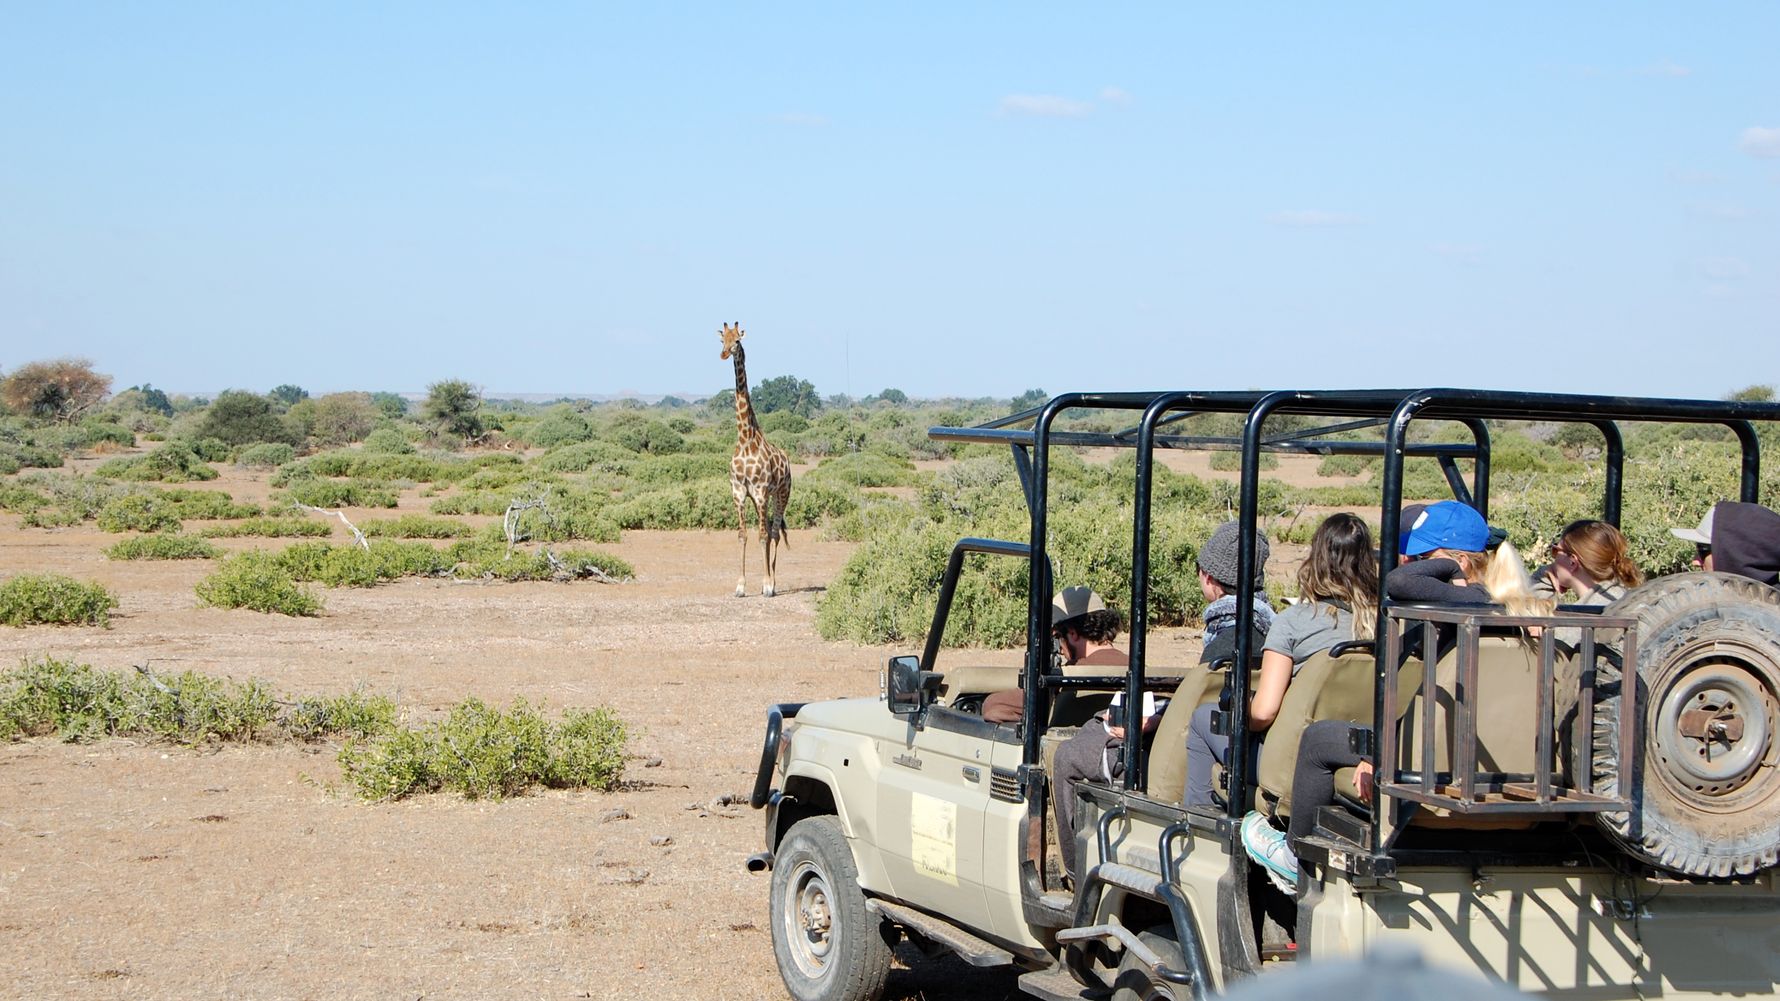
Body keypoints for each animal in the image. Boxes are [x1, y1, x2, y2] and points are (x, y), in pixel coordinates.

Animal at [719, 322, 793, 597]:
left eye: (738, 341)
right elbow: (743, 535)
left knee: (773, 532)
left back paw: (772, 583)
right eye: (722, 339)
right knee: (771, 529)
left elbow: (762, 536)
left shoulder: (760, 491)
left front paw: (766, 585)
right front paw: (740, 586)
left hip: (781, 493)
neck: (744, 439)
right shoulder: (739, 492)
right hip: (763, 498)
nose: (725, 353)